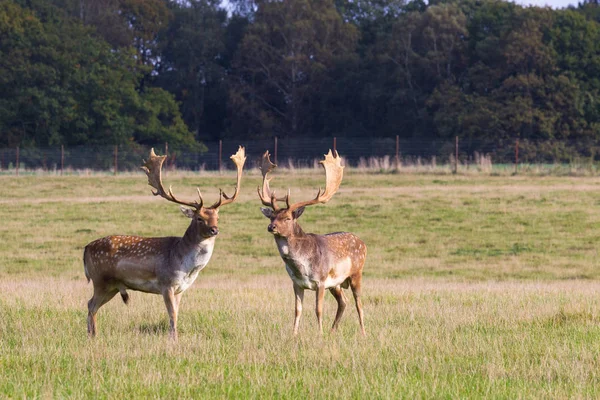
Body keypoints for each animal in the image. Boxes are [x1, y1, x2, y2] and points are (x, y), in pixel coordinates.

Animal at [82, 145, 246, 340]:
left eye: (217, 218)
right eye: (199, 218)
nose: (214, 230)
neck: (185, 266)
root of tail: (85, 249)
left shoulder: (181, 289)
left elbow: (177, 312)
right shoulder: (166, 283)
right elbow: (172, 314)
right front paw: (173, 339)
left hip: (112, 286)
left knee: (91, 305)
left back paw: (93, 334)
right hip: (100, 280)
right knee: (91, 304)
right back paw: (92, 336)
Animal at [258, 149, 366, 334]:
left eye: (287, 218)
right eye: (272, 216)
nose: (271, 227)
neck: (302, 267)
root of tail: (363, 243)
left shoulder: (321, 281)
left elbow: (318, 309)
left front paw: (319, 334)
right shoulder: (296, 283)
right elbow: (297, 310)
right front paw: (294, 335)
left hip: (356, 273)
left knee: (359, 303)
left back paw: (363, 333)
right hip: (336, 284)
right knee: (344, 301)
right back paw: (333, 331)